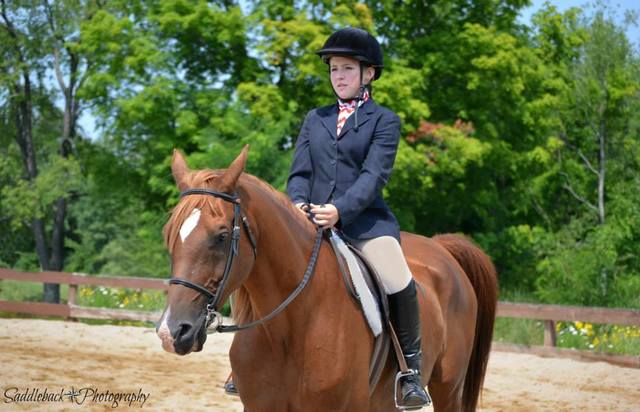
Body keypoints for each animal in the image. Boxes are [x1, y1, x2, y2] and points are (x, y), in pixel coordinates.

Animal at [156, 146, 498, 412]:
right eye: (169, 234)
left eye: (222, 236)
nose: (172, 332)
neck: (291, 328)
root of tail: (442, 247)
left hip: (447, 387)